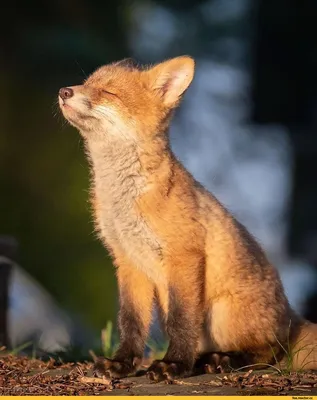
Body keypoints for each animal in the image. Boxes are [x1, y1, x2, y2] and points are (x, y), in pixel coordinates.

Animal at [58, 56, 316, 382]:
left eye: (109, 92)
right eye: (87, 83)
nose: (64, 91)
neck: (126, 201)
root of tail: (292, 316)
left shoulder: (184, 255)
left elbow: (180, 321)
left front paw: (174, 365)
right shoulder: (128, 262)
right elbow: (131, 322)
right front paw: (122, 363)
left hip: (223, 316)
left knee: (270, 352)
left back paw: (223, 360)